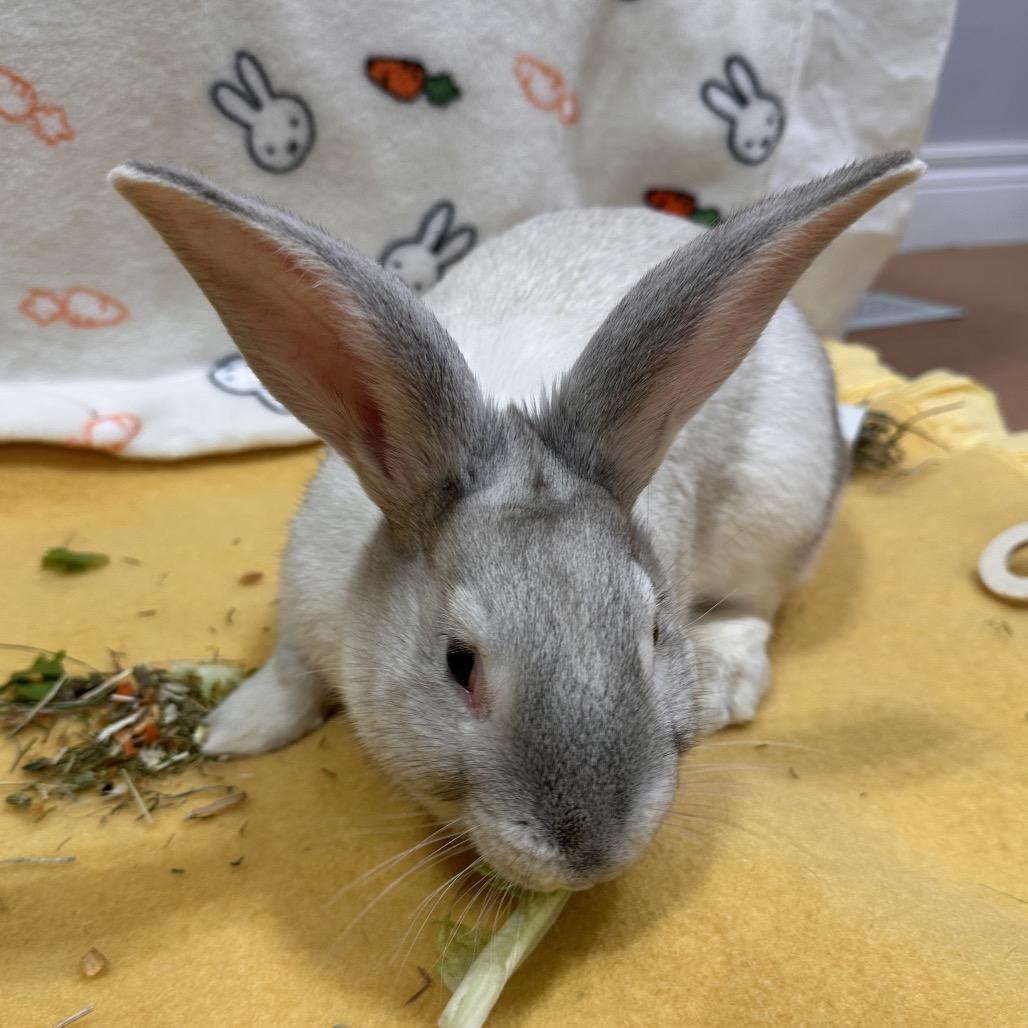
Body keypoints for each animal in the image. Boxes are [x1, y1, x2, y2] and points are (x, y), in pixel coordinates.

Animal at [110, 152, 922, 892]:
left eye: (655, 633)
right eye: (457, 662)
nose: (592, 853)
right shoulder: (304, 603)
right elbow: (289, 675)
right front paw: (233, 732)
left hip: (778, 511)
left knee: (757, 604)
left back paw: (726, 678)